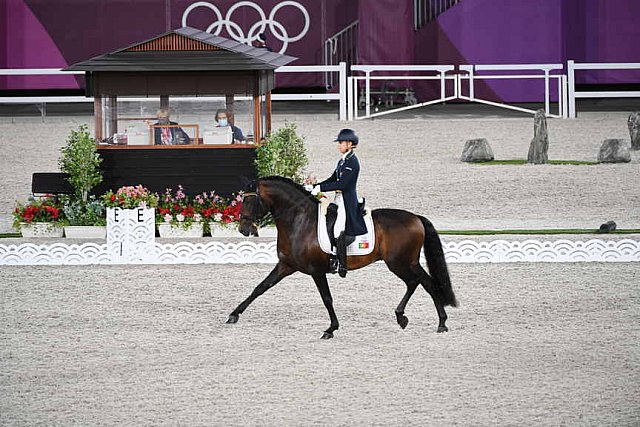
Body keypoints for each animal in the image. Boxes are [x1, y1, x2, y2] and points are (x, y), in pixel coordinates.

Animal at [228, 176, 458, 340]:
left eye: (249, 199)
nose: (243, 229)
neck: (300, 221)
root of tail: (416, 218)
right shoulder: (286, 265)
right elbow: (260, 287)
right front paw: (234, 314)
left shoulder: (316, 270)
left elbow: (327, 298)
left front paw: (330, 329)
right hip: (403, 263)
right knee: (417, 282)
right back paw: (405, 317)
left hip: (400, 263)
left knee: (425, 282)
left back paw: (440, 322)